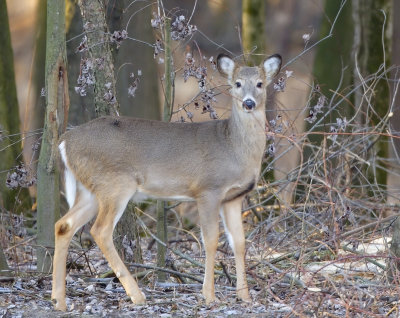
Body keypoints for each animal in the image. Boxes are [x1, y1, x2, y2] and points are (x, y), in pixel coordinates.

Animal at [50, 52, 282, 310]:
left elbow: (239, 242)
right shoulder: (208, 189)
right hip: (115, 184)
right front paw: (209, 295)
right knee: (100, 231)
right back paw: (137, 295)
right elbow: (211, 240)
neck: (234, 147)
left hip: (90, 190)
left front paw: (245, 296)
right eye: (237, 84)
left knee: (64, 225)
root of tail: (65, 141)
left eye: (260, 83)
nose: (248, 103)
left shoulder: (233, 198)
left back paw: (58, 300)